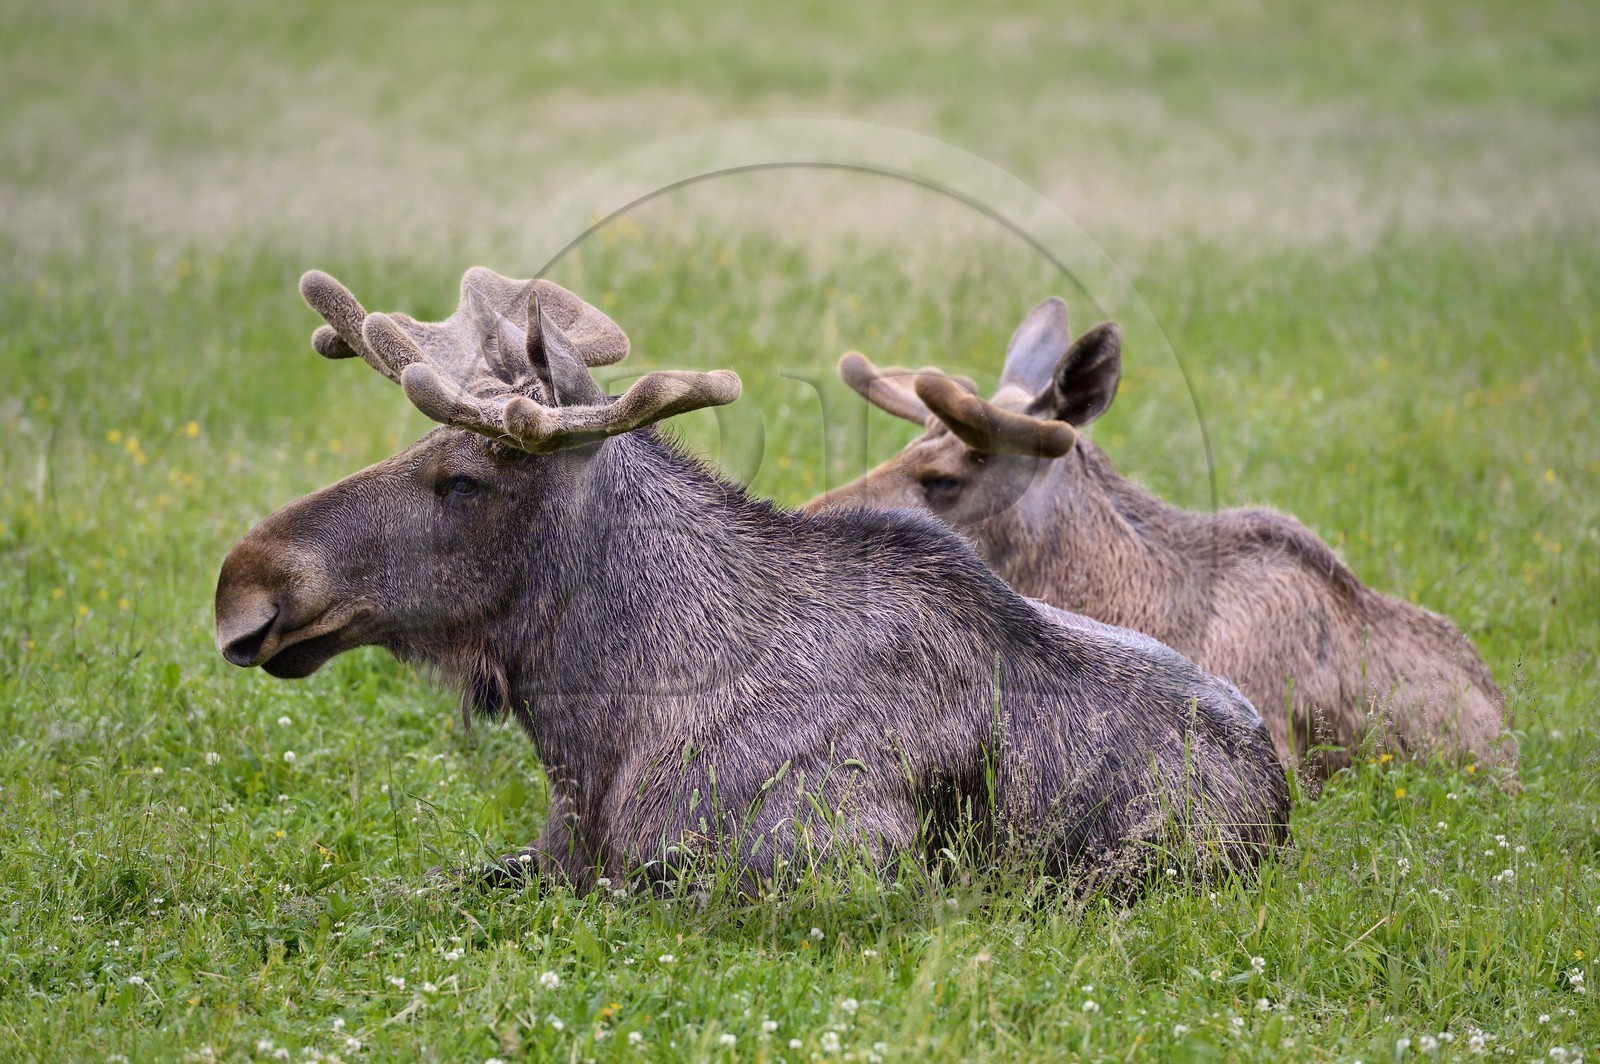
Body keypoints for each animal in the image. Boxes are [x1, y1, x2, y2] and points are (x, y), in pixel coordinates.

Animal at [214, 268, 1289, 896]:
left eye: (463, 479)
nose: (243, 584)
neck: (598, 732)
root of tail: (1281, 799)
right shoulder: (543, 854)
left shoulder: (828, 874)